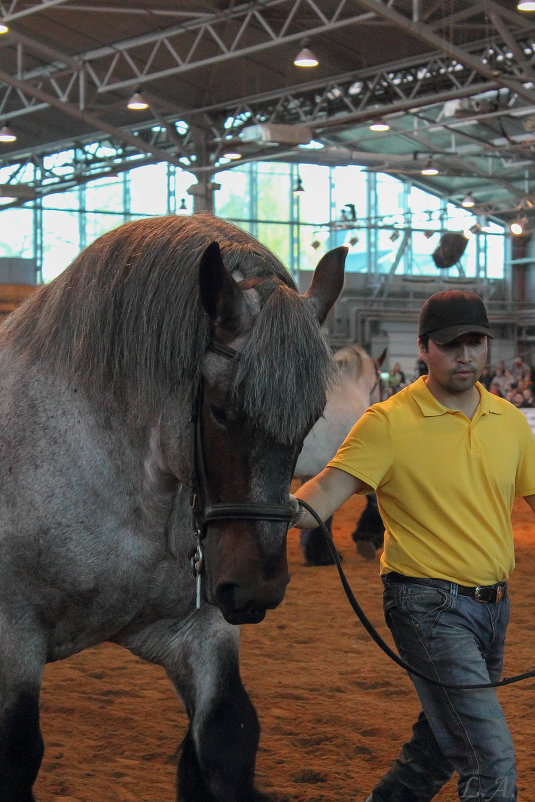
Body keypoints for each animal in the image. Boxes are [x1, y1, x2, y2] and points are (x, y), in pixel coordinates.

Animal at [0, 214, 346, 800]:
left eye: (311, 418)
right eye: (222, 410)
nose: (258, 590)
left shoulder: (196, 628)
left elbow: (228, 734)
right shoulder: (14, 636)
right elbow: (17, 755)